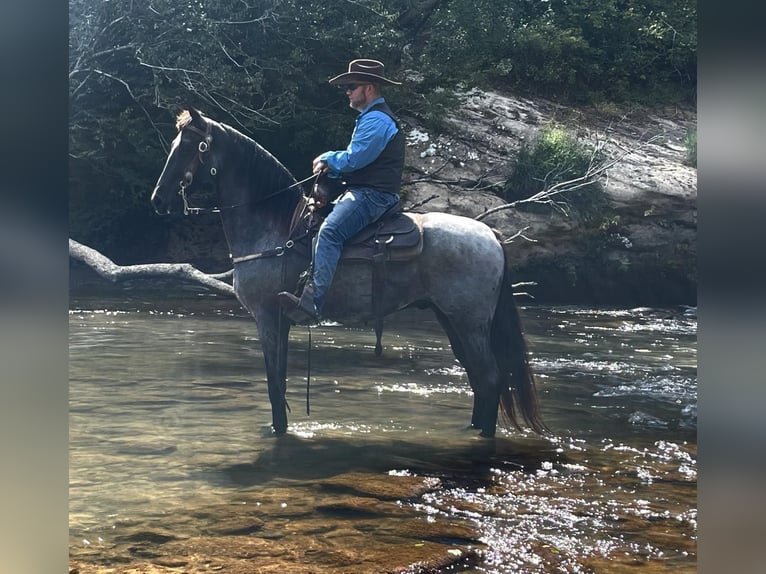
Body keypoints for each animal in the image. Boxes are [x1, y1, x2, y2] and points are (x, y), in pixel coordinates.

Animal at [152, 108, 544, 438]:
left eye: (189, 147)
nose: (157, 200)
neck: (274, 227)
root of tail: (491, 234)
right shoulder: (279, 322)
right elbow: (279, 382)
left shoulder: (268, 317)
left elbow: (275, 386)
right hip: (452, 320)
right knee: (478, 380)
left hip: (470, 322)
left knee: (490, 379)